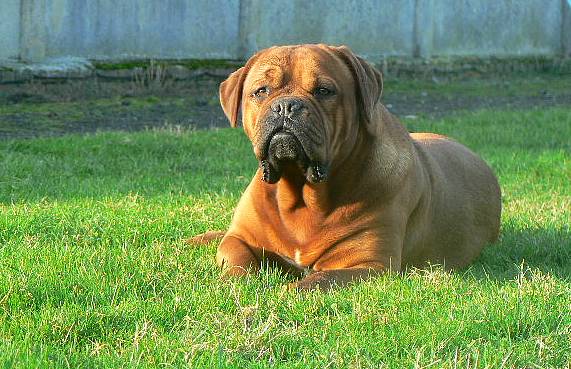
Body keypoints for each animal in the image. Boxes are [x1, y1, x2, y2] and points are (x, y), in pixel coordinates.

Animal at [194, 43, 502, 290]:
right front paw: (233, 283)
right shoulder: (239, 238)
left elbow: (316, 280)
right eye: (261, 91)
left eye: (324, 91)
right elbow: (238, 261)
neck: (302, 194)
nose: (286, 106)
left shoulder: (370, 265)